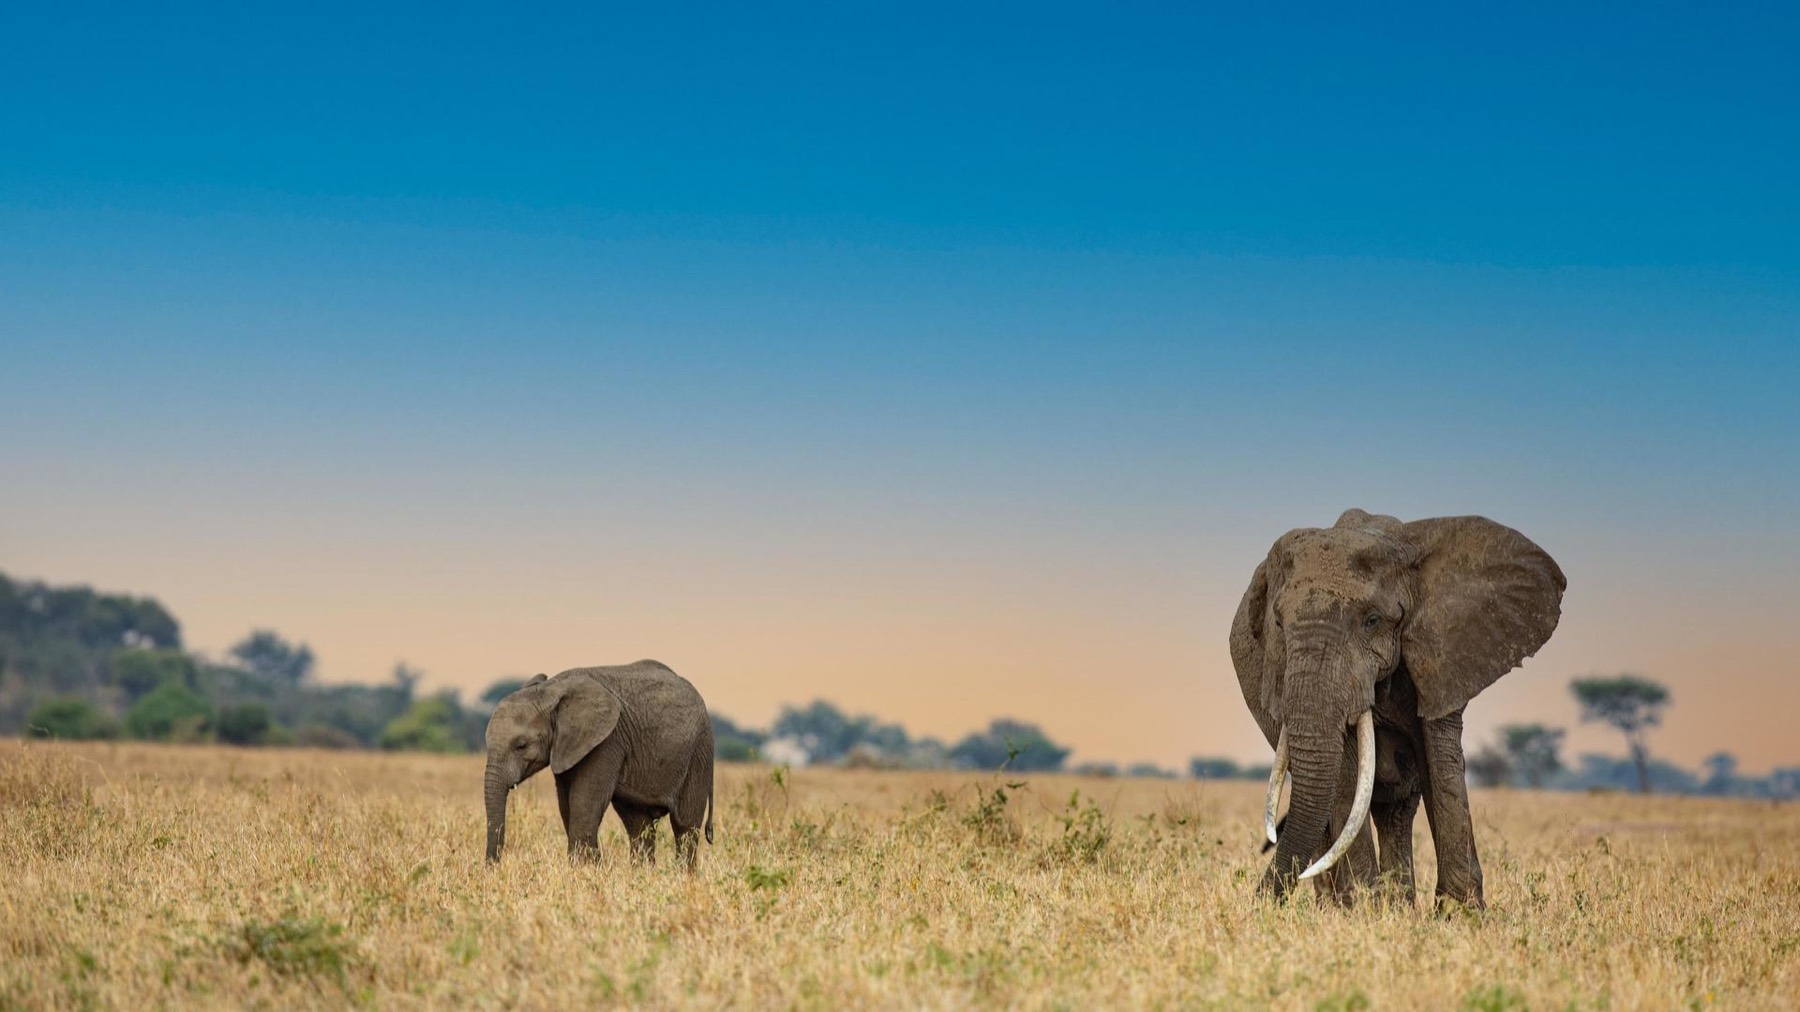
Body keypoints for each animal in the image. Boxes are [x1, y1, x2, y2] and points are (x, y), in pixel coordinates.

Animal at [483, 660, 715, 870]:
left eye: (521, 745)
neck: (551, 689)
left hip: (698, 753)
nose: (492, 868)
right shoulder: (567, 746)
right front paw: (591, 867)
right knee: (638, 825)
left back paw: (683, 875)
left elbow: (584, 802)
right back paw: (642, 874)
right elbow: (567, 804)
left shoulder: (607, 741)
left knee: (685, 824)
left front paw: (585, 869)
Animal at [1229, 509, 1565, 909]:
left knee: (1397, 808)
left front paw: (1460, 913)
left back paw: (1397, 906)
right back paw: (1344, 906)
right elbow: (1346, 777)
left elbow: (1440, 764)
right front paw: (1364, 912)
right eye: (1278, 623)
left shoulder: (1444, 658)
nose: (1258, 902)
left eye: (1372, 620)